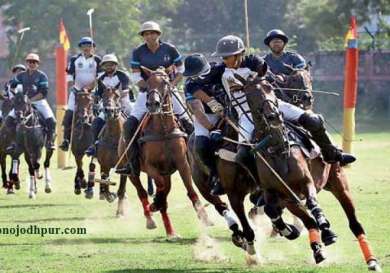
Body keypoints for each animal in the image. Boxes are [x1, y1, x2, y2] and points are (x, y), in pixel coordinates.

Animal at [93, 84, 156, 227]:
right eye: (103, 95)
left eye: (117, 95)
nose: (109, 111)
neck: (113, 136)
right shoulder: (104, 165)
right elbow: (105, 184)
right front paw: (109, 195)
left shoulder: (123, 166)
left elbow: (121, 190)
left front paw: (119, 212)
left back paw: (151, 190)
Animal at [119, 68, 209, 238]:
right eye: (147, 85)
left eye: (165, 84)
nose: (153, 104)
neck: (164, 131)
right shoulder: (151, 166)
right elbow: (160, 187)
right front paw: (155, 203)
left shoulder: (182, 163)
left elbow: (190, 190)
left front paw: (205, 217)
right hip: (132, 172)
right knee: (142, 192)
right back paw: (151, 219)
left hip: (166, 171)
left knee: (164, 194)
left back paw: (171, 232)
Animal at [241, 74, 380, 270]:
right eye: (250, 96)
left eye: (270, 88)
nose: (273, 116)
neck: (278, 148)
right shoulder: (275, 193)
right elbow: (270, 209)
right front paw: (290, 231)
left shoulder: (306, 183)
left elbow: (313, 204)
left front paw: (325, 226)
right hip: (291, 200)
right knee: (307, 221)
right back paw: (317, 249)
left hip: (338, 183)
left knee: (354, 223)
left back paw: (371, 260)